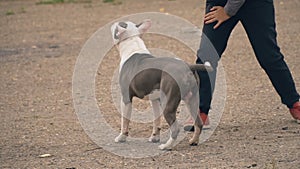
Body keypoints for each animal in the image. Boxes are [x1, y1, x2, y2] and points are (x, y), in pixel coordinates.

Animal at [110, 19, 213, 150]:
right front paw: (155, 137)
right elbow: (156, 120)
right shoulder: (154, 99)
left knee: (175, 128)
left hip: (168, 104)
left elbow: (125, 120)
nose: (113, 23)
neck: (132, 46)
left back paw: (166, 146)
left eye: (118, 26)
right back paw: (193, 141)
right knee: (198, 122)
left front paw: (121, 137)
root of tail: (188, 66)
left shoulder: (126, 98)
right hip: (192, 100)